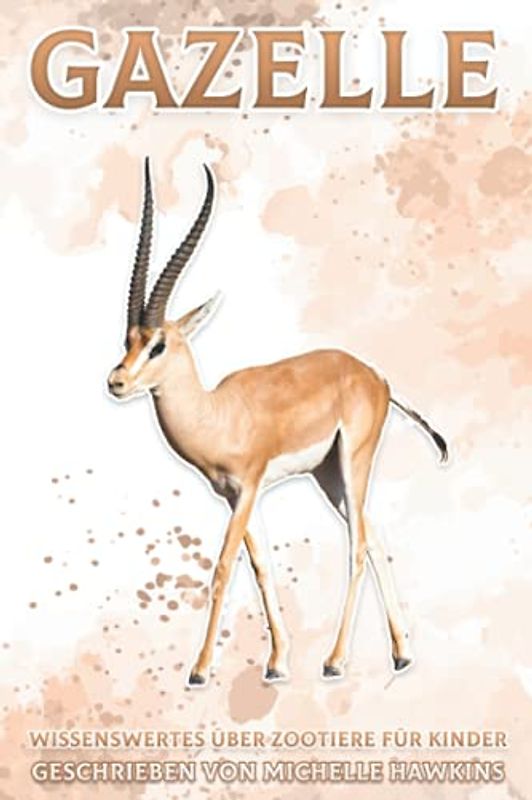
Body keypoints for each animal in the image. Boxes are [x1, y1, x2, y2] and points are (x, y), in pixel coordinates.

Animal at [107, 159, 448, 686]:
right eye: (128, 340)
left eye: (158, 344)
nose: (116, 381)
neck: (218, 413)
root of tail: (376, 376)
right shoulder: (234, 496)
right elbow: (262, 565)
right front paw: (277, 663)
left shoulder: (248, 488)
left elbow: (224, 567)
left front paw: (200, 670)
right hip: (330, 477)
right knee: (374, 538)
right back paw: (401, 654)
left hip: (352, 463)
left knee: (357, 546)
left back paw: (335, 661)